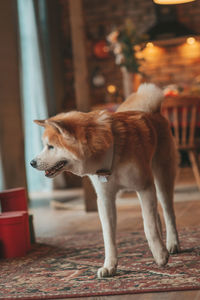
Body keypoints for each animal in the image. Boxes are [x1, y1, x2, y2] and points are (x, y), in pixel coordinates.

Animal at [30, 83, 180, 278]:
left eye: (50, 147)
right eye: (45, 145)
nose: (31, 162)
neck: (110, 155)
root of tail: (150, 111)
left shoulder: (144, 187)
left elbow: (149, 226)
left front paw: (160, 255)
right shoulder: (105, 198)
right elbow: (108, 235)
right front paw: (109, 265)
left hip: (162, 179)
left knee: (168, 213)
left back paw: (171, 243)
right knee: (156, 215)